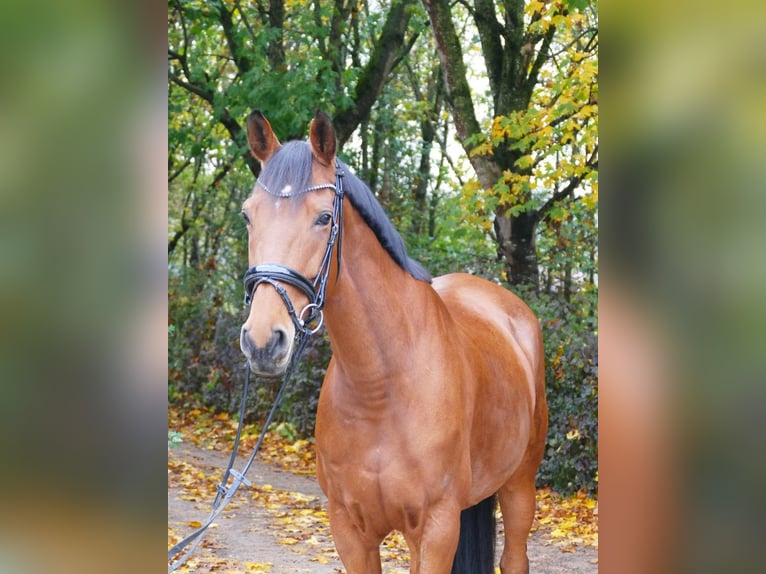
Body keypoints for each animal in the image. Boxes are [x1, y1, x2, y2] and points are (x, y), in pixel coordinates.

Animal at [239, 109, 548, 574]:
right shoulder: (349, 530)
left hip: (519, 485)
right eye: (248, 216)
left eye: (323, 218)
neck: (382, 387)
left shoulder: (436, 528)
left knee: (515, 557)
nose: (263, 341)